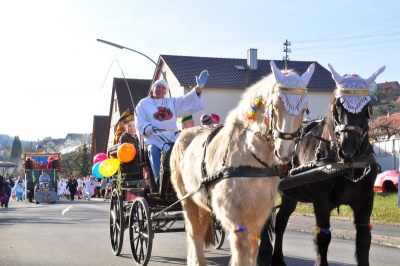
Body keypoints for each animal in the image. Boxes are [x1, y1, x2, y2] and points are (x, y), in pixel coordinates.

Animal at [170, 61, 314, 264]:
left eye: (304, 109)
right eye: (276, 105)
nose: (285, 152)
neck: (250, 159)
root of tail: (184, 134)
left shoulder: (258, 216)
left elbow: (252, 250)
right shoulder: (234, 217)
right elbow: (242, 250)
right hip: (187, 198)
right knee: (194, 232)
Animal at [258, 63, 386, 264]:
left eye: (366, 108)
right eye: (337, 107)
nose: (348, 151)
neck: (344, 166)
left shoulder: (366, 201)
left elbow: (364, 239)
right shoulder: (321, 202)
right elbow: (323, 238)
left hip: (289, 194)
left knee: (280, 222)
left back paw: (278, 257)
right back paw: (264, 254)